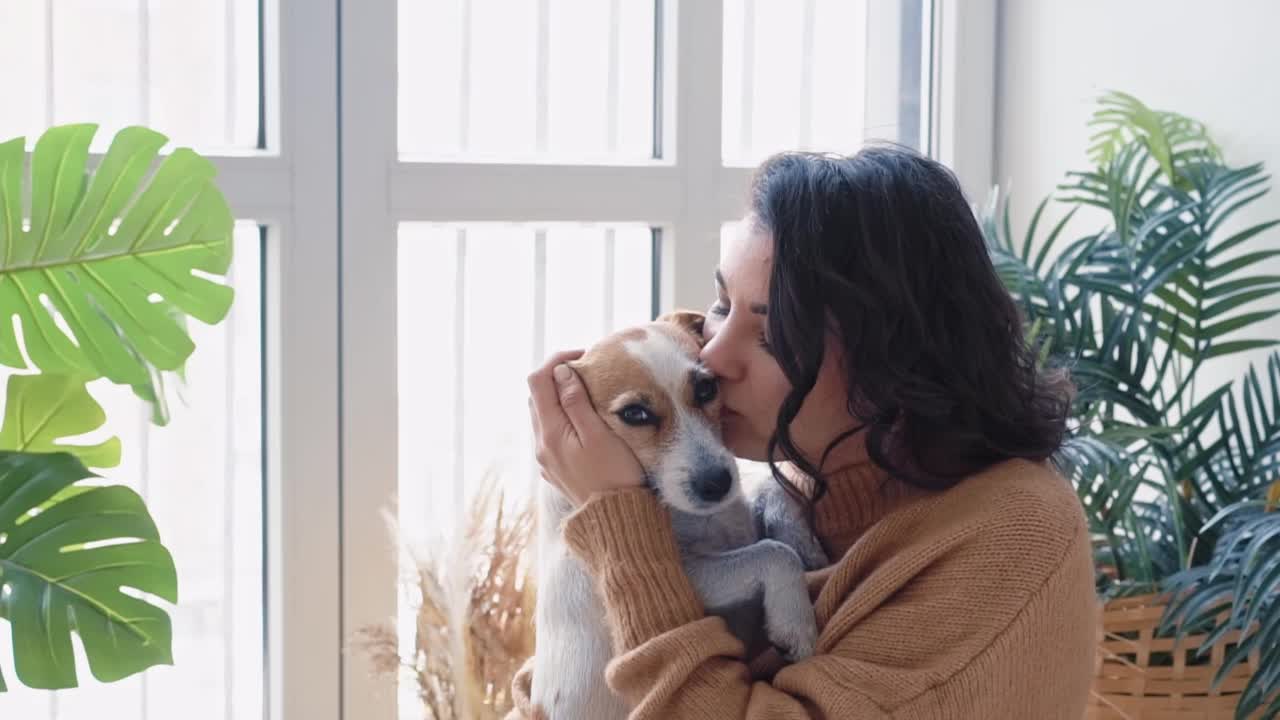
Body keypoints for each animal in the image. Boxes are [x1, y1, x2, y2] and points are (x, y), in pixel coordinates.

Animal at [529, 310, 829, 717]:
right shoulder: (689, 575)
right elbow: (773, 553)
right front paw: (796, 623)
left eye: (705, 389)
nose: (717, 483)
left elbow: (772, 489)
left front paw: (805, 543)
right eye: (634, 413)